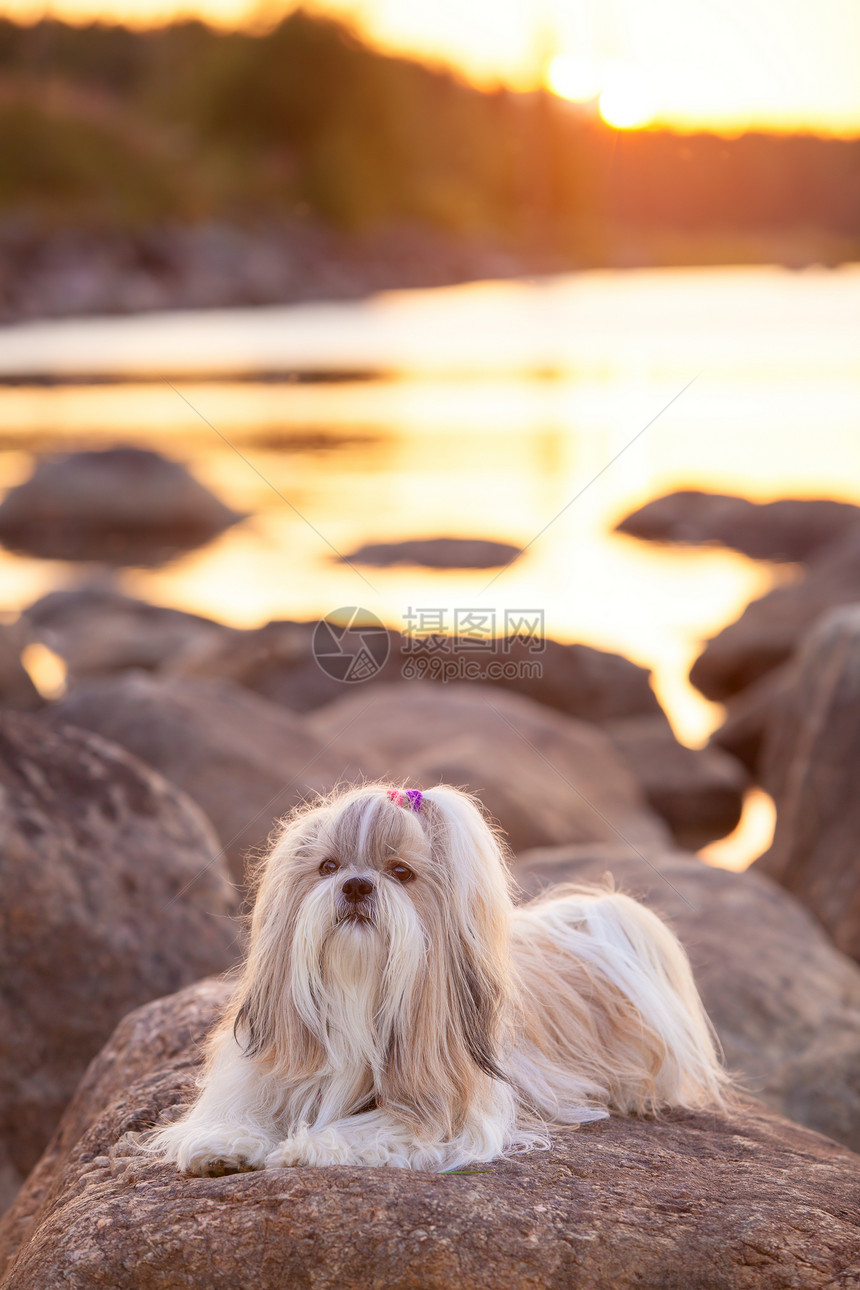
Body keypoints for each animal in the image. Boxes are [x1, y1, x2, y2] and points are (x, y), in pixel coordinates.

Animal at [152, 779, 727, 1176]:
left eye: (401, 873)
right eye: (328, 867)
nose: (357, 885)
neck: (359, 994)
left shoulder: (451, 1104)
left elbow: (391, 1126)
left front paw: (313, 1143)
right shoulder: (263, 1067)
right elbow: (241, 1108)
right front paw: (225, 1143)